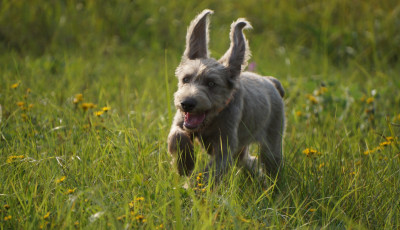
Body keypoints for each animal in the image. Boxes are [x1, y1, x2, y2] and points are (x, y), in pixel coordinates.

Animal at [167, 9, 286, 185]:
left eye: (211, 83)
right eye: (186, 79)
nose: (186, 103)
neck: (211, 120)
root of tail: (269, 80)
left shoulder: (225, 148)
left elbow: (209, 174)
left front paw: (192, 188)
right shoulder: (180, 122)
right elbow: (177, 135)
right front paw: (185, 165)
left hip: (272, 138)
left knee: (271, 163)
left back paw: (274, 187)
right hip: (241, 149)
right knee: (248, 161)